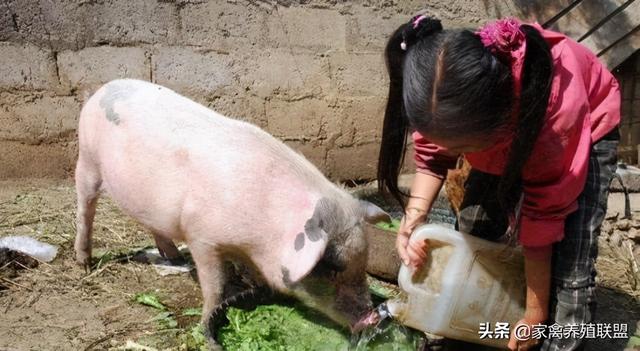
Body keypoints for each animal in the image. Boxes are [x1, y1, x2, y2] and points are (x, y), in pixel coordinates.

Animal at [72, 79, 388, 346]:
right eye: (332, 267)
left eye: (363, 262)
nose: (371, 317)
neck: (262, 231)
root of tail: (101, 89)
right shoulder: (201, 237)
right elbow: (216, 286)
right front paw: (206, 322)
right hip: (87, 160)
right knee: (85, 210)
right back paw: (84, 264)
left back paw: (174, 258)